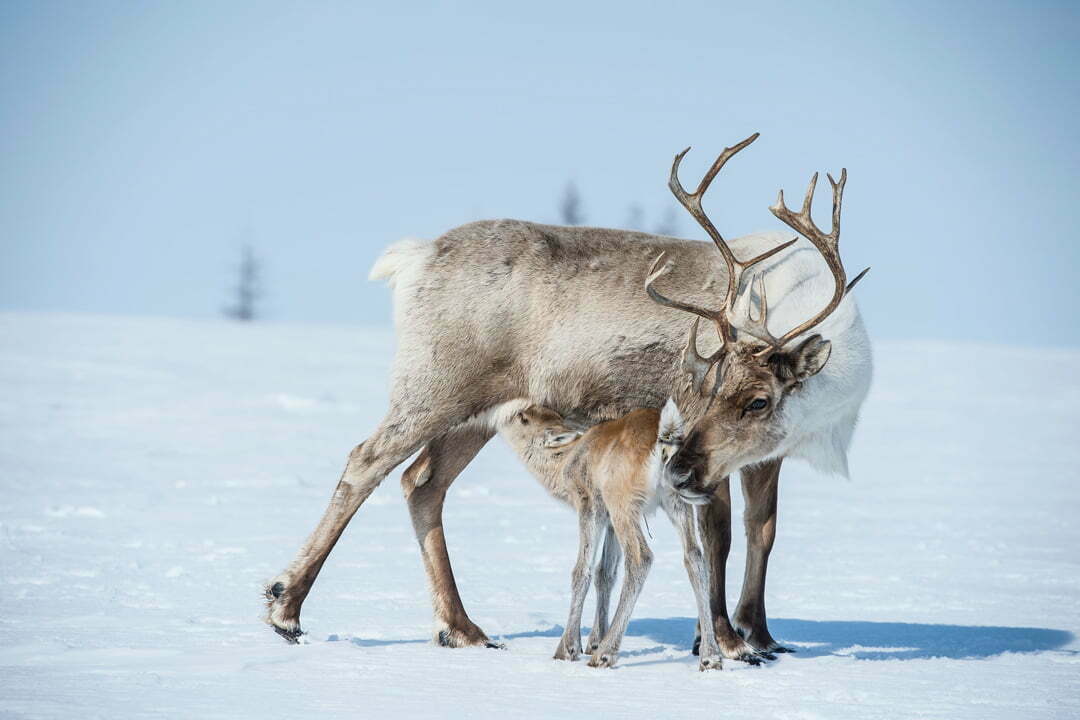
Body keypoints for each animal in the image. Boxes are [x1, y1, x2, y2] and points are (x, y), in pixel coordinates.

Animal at [494, 399, 721, 670]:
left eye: (523, 417)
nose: (501, 414)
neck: (564, 462)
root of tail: (665, 440)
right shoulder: (610, 522)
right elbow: (605, 573)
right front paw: (593, 640)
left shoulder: (590, 503)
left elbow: (582, 571)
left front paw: (568, 648)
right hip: (676, 501)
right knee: (694, 557)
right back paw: (711, 656)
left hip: (622, 500)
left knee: (641, 558)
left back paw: (605, 653)